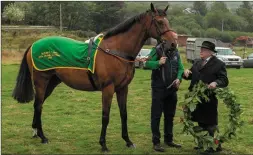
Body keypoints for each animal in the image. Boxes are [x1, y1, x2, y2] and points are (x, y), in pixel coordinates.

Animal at [12, 3, 177, 151]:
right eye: (160, 22)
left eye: (168, 21)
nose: (172, 43)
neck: (116, 51)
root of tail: (33, 44)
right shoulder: (108, 89)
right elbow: (105, 116)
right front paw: (103, 144)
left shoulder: (123, 88)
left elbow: (124, 114)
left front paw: (128, 141)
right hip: (41, 82)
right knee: (38, 105)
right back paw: (42, 137)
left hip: (52, 82)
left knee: (38, 105)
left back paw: (35, 132)